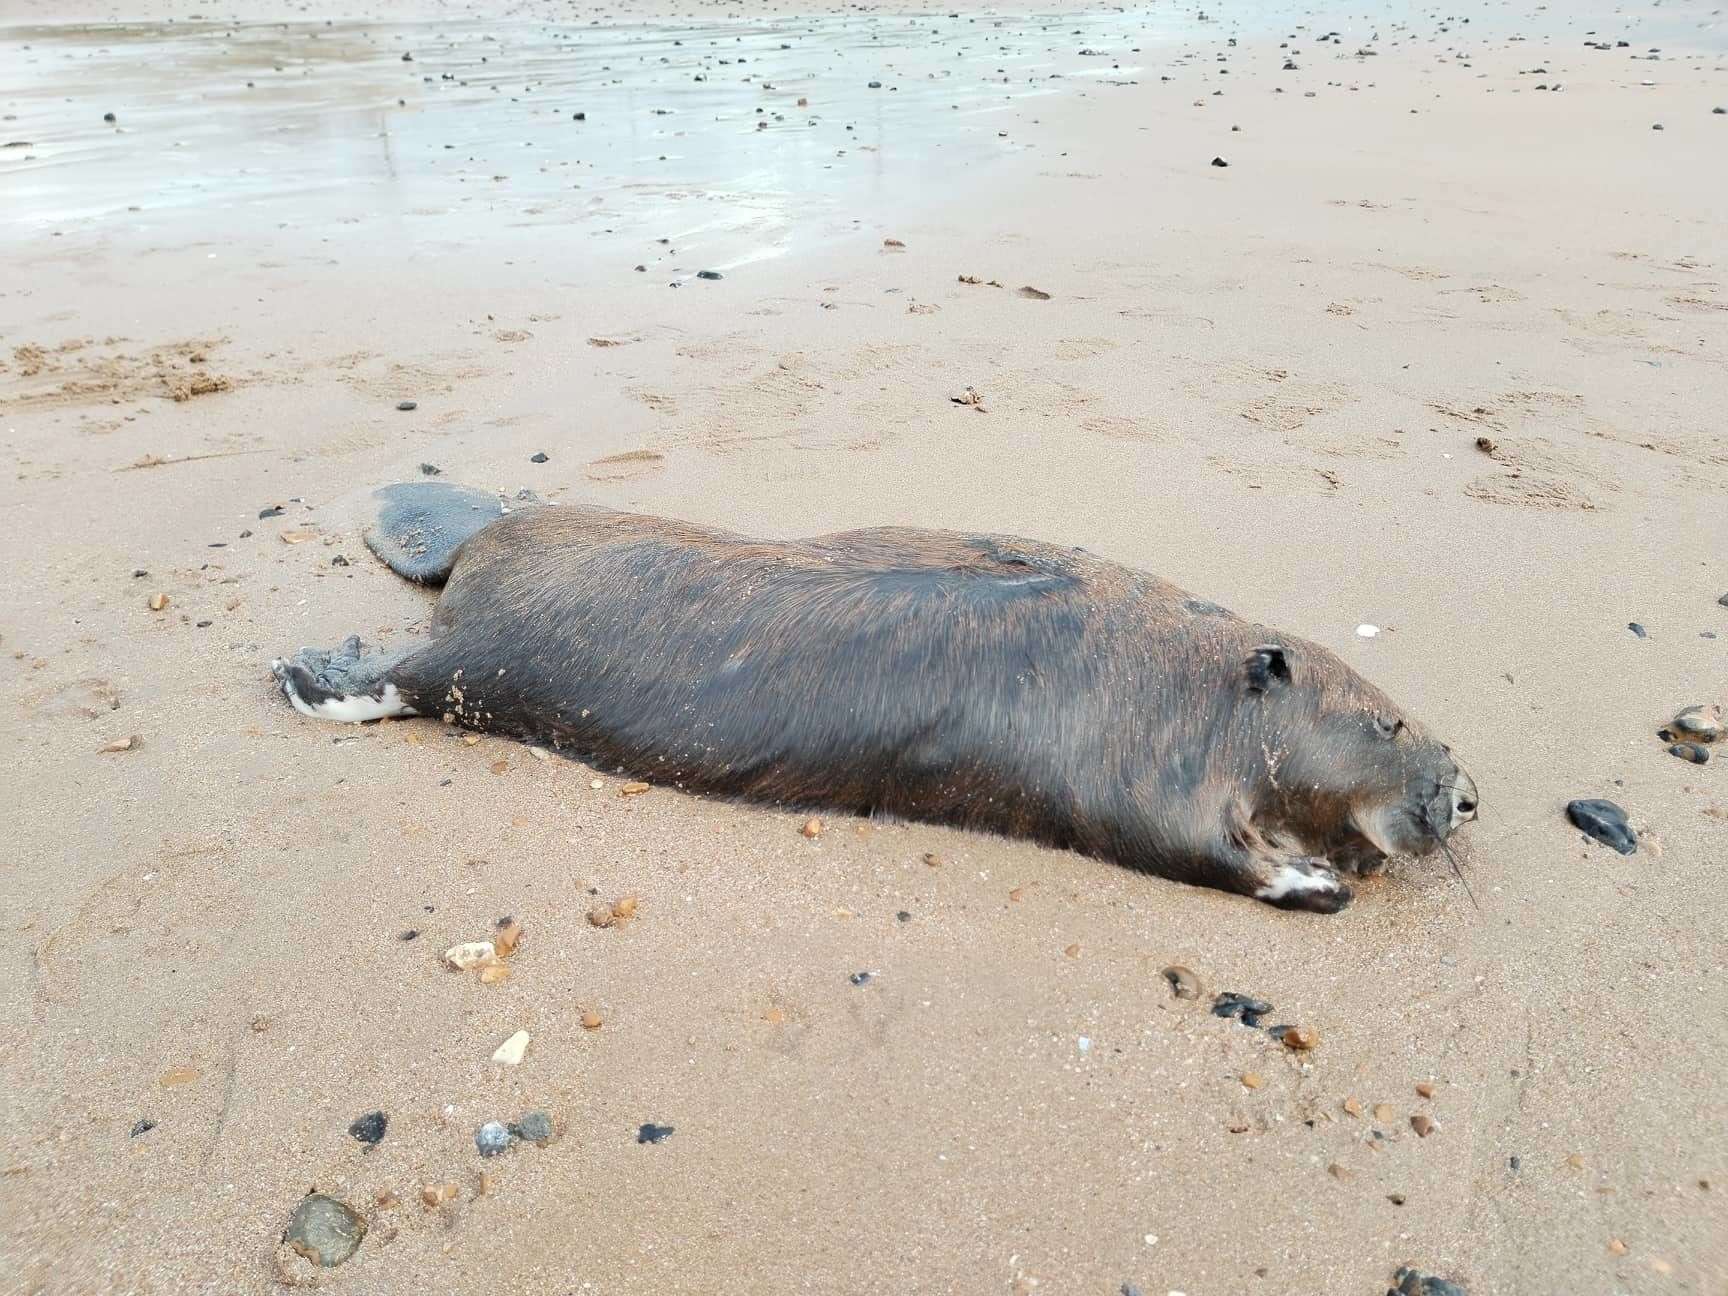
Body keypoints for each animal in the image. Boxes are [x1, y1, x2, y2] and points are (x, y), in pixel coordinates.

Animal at [276, 483, 1479, 919]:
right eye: (1388, 720)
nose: (1461, 796)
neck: (1201, 674)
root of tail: (475, 539)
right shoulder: (1136, 769)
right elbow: (1195, 846)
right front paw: (1316, 878)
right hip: (486, 668)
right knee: (411, 677)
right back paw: (308, 676)